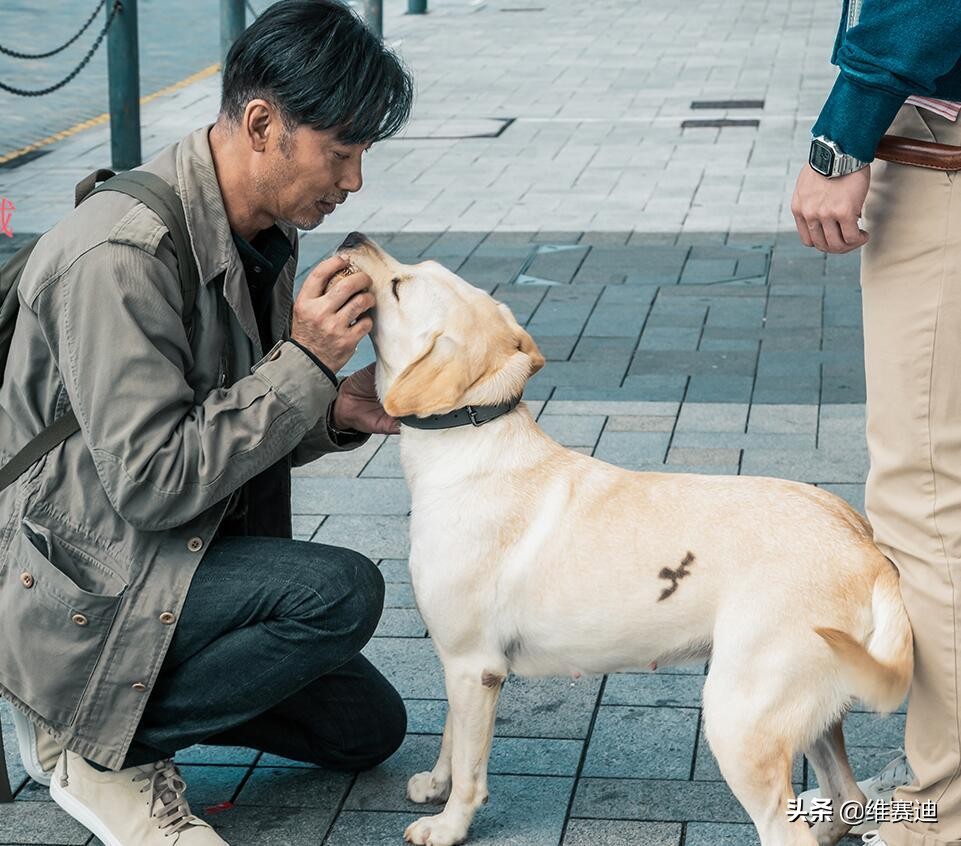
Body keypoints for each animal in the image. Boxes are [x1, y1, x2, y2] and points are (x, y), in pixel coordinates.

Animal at [336, 232, 908, 846]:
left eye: (400, 285)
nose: (351, 237)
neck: (471, 436)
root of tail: (869, 553)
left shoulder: (474, 663)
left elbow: (470, 765)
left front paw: (449, 825)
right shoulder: (458, 664)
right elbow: (451, 737)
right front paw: (436, 786)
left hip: (740, 718)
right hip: (810, 709)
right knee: (845, 799)